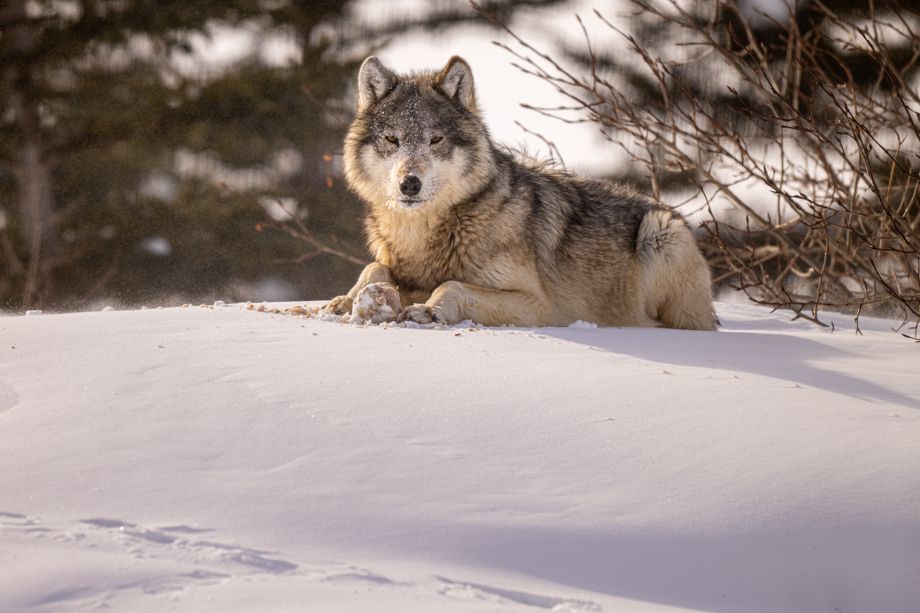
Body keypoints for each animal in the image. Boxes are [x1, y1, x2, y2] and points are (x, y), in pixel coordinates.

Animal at [323, 55, 716, 330]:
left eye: (435, 140)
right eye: (393, 139)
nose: (410, 184)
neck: (425, 233)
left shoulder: (539, 306)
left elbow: (452, 286)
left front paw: (428, 311)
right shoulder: (399, 269)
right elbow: (374, 268)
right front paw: (343, 301)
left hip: (661, 232)